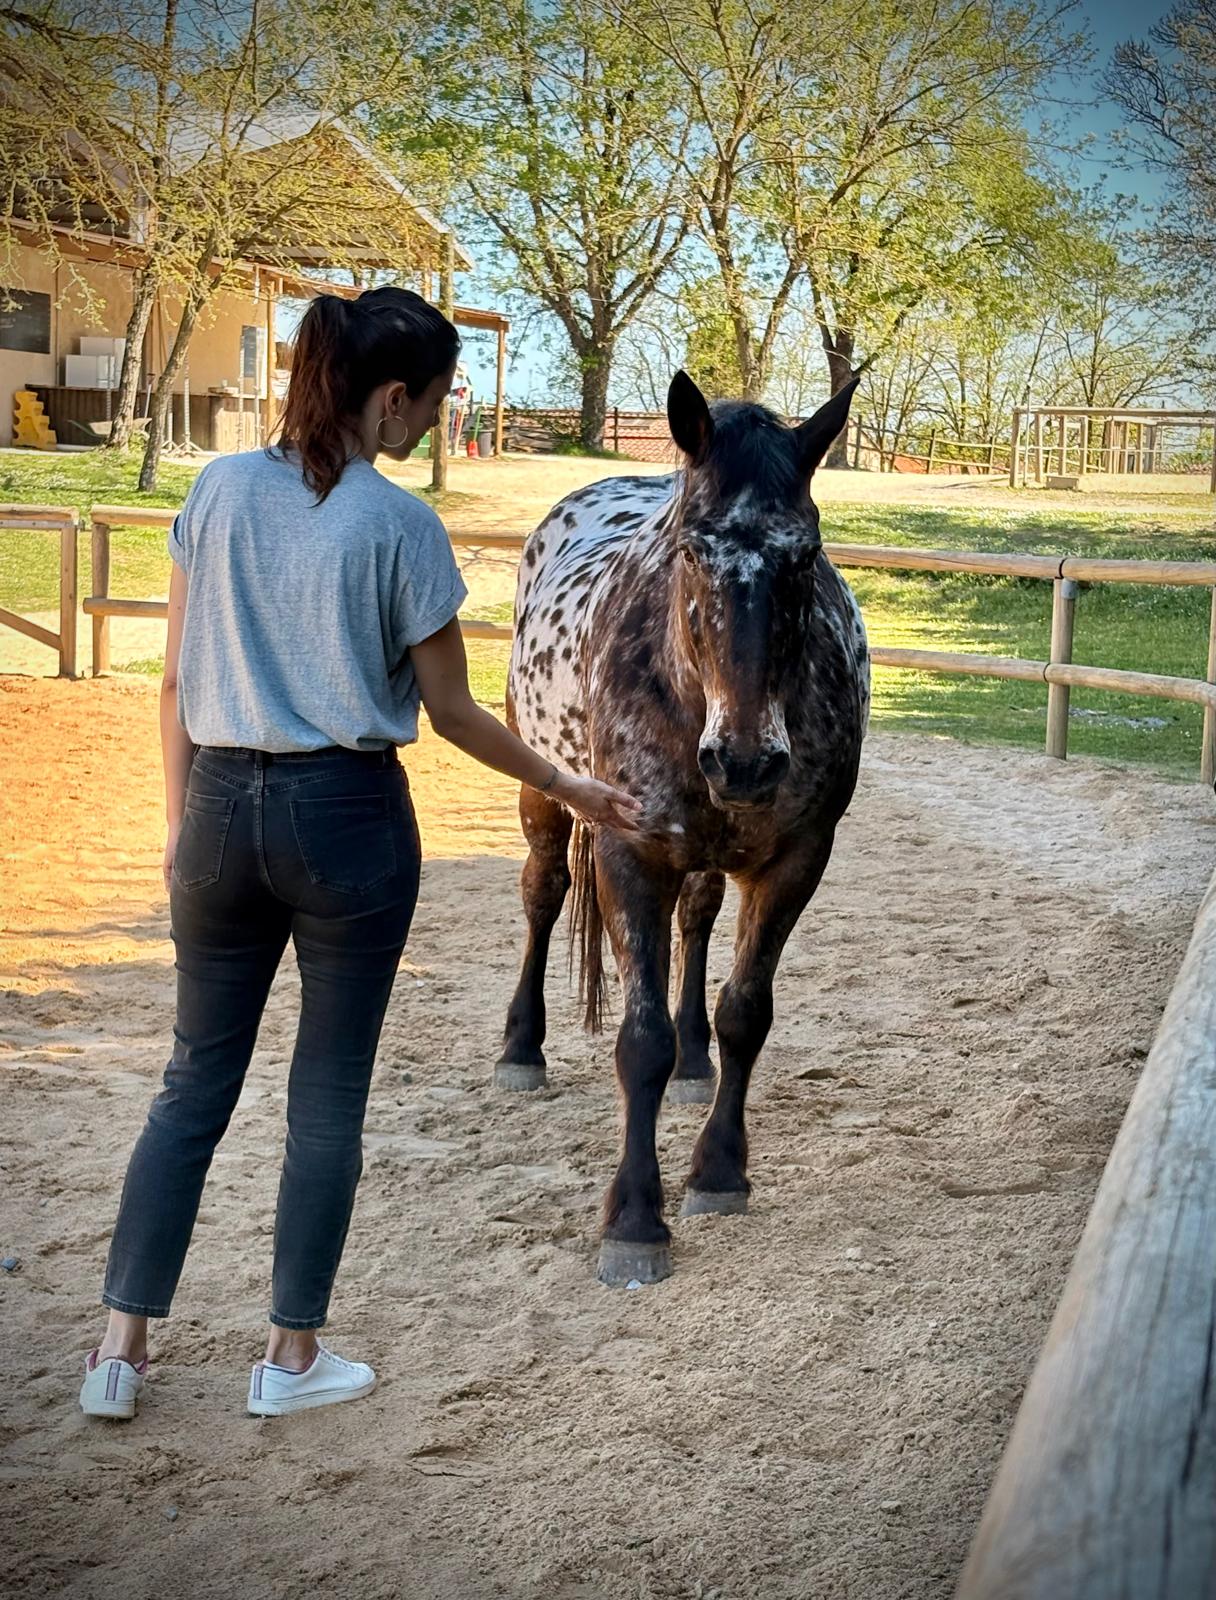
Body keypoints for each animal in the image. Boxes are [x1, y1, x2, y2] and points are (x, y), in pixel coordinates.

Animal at [496, 370, 870, 1286]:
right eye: (693, 551)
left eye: (805, 555)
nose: (745, 761)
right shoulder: (632, 854)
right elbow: (641, 1040)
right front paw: (635, 1217)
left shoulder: (797, 860)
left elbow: (745, 1014)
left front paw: (719, 1170)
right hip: (542, 798)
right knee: (543, 893)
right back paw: (522, 1050)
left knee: (697, 924)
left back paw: (699, 1064)